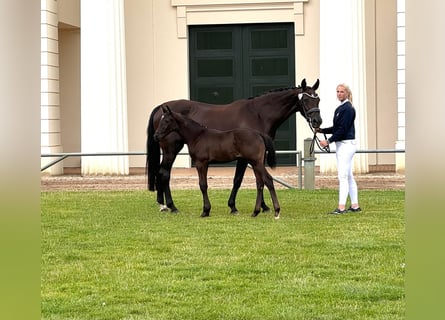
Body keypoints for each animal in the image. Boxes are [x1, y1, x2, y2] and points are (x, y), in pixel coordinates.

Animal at [147, 78, 320, 212]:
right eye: (306, 100)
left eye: (318, 99)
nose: (317, 121)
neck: (258, 114)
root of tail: (160, 108)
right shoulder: (245, 157)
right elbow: (238, 179)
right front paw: (233, 206)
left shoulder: (258, 156)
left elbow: (259, 179)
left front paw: (262, 206)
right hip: (171, 150)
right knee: (164, 173)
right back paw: (170, 206)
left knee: (161, 172)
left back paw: (163, 205)